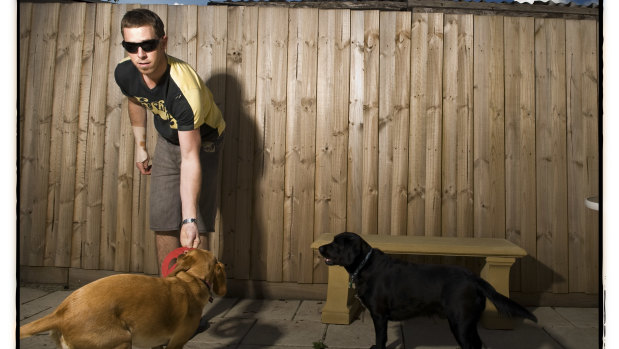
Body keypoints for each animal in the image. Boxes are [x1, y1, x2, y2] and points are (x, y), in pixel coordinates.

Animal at [320, 231, 536, 348]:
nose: (321, 248)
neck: (366, 266)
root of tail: (474, 278)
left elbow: (381, 339)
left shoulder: (379, 315)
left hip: (460, 322)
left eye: (335, 243)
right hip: (468, 322)